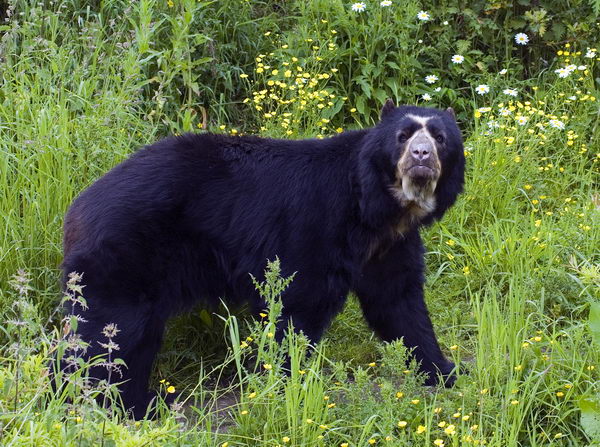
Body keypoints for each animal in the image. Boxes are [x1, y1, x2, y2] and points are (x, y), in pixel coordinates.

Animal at [59, 101, 464, 420]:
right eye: (403, 136)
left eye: (440, 138)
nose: (421, 157)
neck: (381, 208)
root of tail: (79, 207)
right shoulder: (315, 227)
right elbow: (298, 307)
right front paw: (289, 385)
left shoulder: (390, 246)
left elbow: (398, 302)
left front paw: (443, 372)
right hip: (128, 255)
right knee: (108, 332)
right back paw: (95, 401)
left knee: (131, 339)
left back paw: (140, 403)